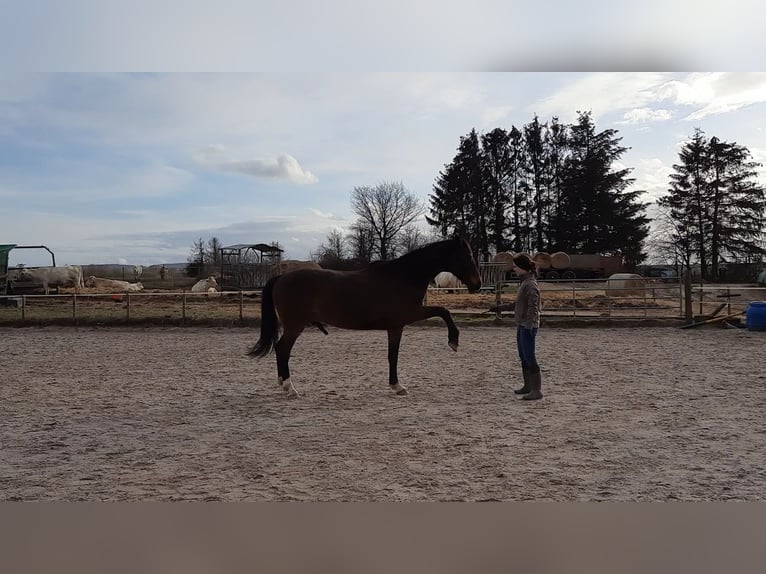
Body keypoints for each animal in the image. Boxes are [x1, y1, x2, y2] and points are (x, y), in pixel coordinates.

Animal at [248, 237, 482, 398]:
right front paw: (453, 341)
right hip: (295, 325)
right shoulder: (405, 319)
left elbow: (393, 354)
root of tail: (281, 277)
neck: (404, 276)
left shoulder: (398, 324)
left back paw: (284, 385)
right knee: (282, 349)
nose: (477, 284)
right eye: (468, 256)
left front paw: (395, 385)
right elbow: (442, 312)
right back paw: (290, 388)